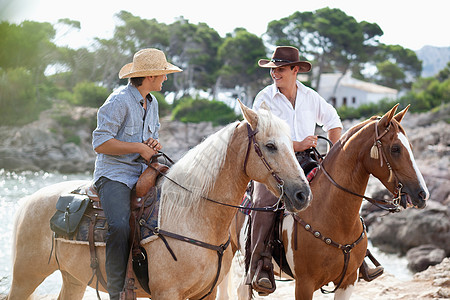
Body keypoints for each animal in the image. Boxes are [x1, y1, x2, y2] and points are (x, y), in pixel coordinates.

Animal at [7, 101, 312, 300]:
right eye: (270, 146)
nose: (303, 194)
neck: (191, 215)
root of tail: (28, 201)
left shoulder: (206, 293)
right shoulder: (168, 293)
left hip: (72, 278)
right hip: (26, 276)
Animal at [224, 103, 428, 300]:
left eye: (410, 146)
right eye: (395, 148)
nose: (422, 194)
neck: (333, 216)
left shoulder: (348, 282)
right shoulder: (304, 285)